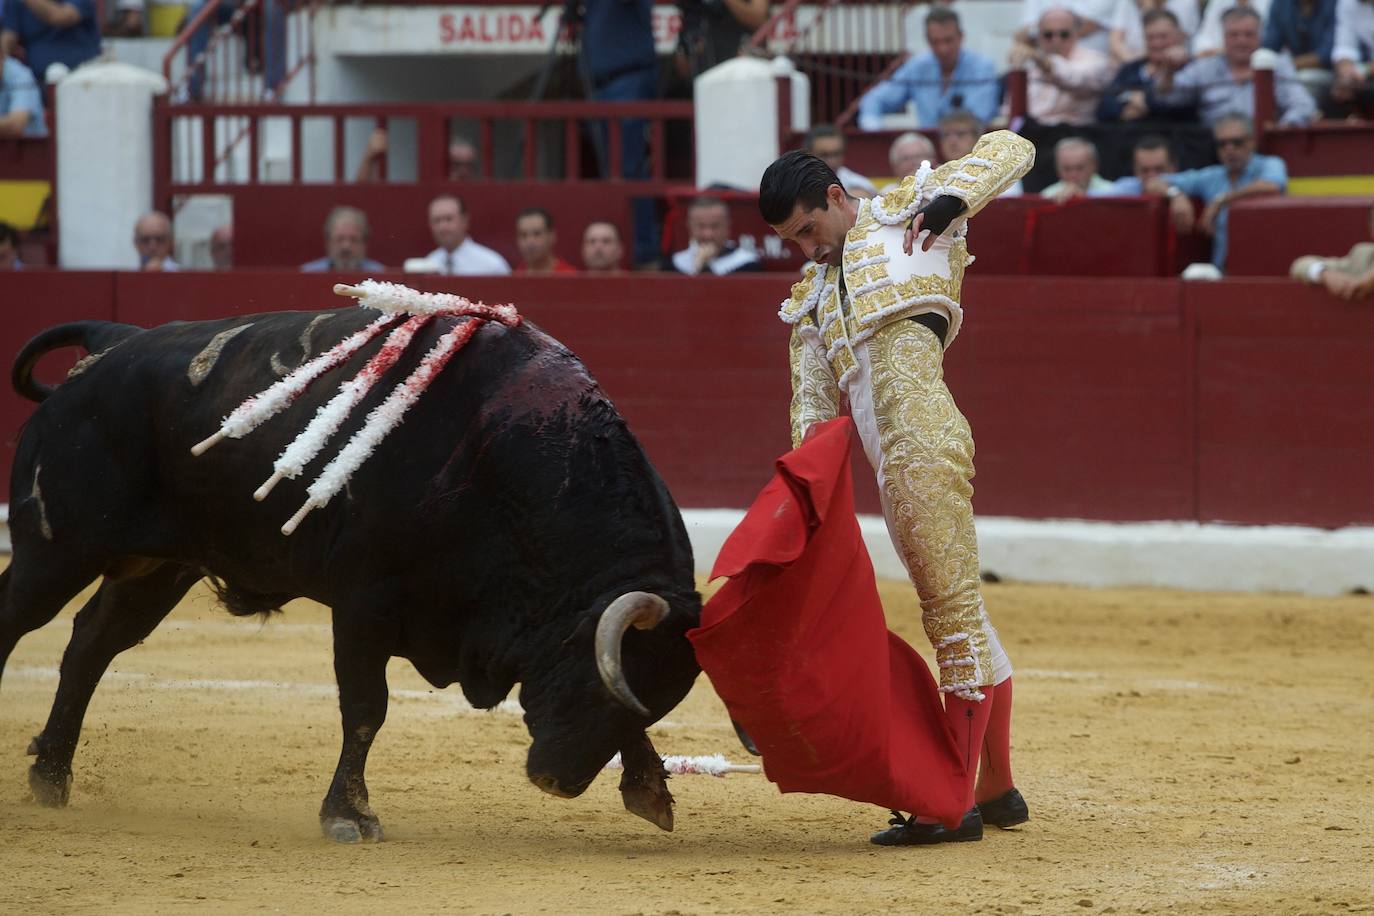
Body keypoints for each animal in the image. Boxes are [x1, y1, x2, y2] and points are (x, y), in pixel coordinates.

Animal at [0, 307, 703, 845]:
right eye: (591, 683)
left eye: (652, 695)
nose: (556, 781)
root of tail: (112, 341)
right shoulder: (364, 604)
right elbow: (366, 709)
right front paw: (349, 816)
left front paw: (650, 789)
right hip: (55, 551)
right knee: (23, 622)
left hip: (162, 566)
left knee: (92, 642)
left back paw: (52, 775)